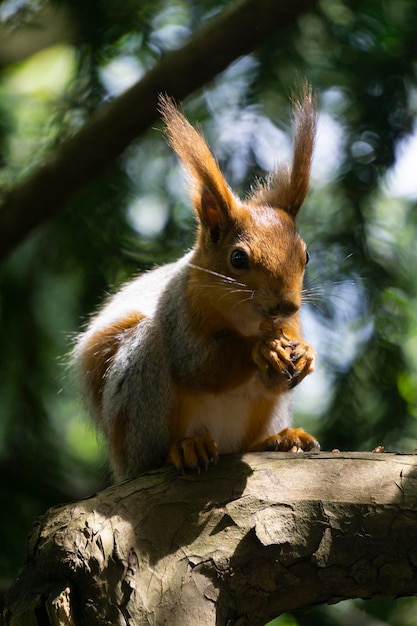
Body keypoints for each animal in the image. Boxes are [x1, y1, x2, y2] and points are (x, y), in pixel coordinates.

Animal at [72, 85, 318, 480]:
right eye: (237, 259)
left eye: (306, 255)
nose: (288, 304)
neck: (246, 320)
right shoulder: (179, 311)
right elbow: (202, 366)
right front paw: (260, 350)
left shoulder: (287, 324)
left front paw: (306, 353)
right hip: (141, 393)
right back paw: (185, 448)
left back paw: (279, 439)